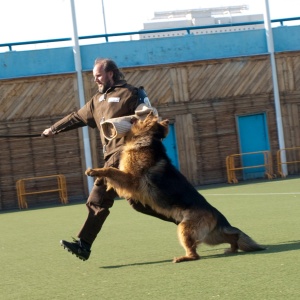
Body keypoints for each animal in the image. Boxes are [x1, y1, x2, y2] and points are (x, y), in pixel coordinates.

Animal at [85, 112, 264, 262]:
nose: (143, 111)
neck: (146, 137)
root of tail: (217, 215)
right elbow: (111, 177)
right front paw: (101, 181)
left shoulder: (131, 180)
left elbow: (110, 170)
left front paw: (94, 171)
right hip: (210, 237)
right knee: (232, 236)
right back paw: (233, 249)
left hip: (185, 230)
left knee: (195, 255)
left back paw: (183, 258)